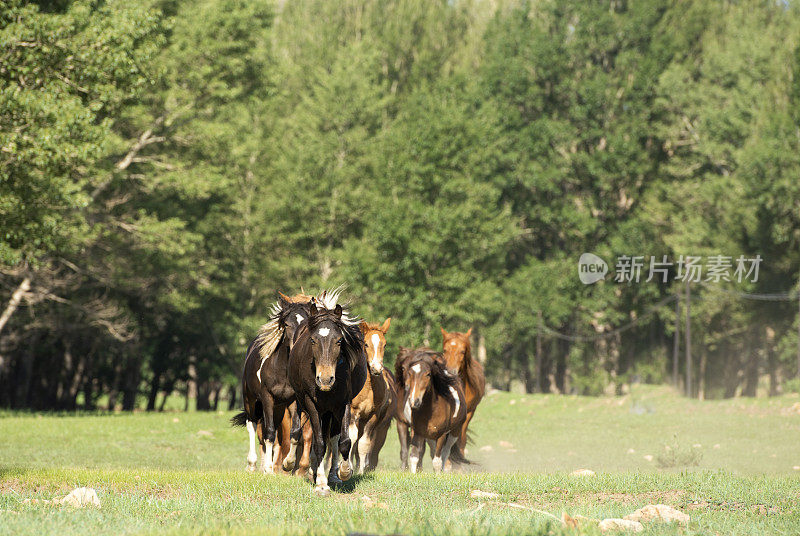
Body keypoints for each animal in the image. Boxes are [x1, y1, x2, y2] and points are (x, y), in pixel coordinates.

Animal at [286, 294, 368, 494]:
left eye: (339, 340)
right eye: (312, 340)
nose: (325, 380)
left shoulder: (343, 403)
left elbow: (343, 441)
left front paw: (344, 472)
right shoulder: (312, 404)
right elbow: (319, 443)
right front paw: (321, 483)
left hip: (331, 411)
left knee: (333, 437)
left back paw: (332, 474)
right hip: (306, 403)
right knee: (304, 432)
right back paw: (301, 467)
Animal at [346, 318, 396, 474]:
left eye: (384, 344)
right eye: (366, 344)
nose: (376, 369)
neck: (368, 388)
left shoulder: (373, 416)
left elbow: (363, 443)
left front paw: (361, 471)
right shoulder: (353, 412)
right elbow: (352, 438)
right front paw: (347, 468)